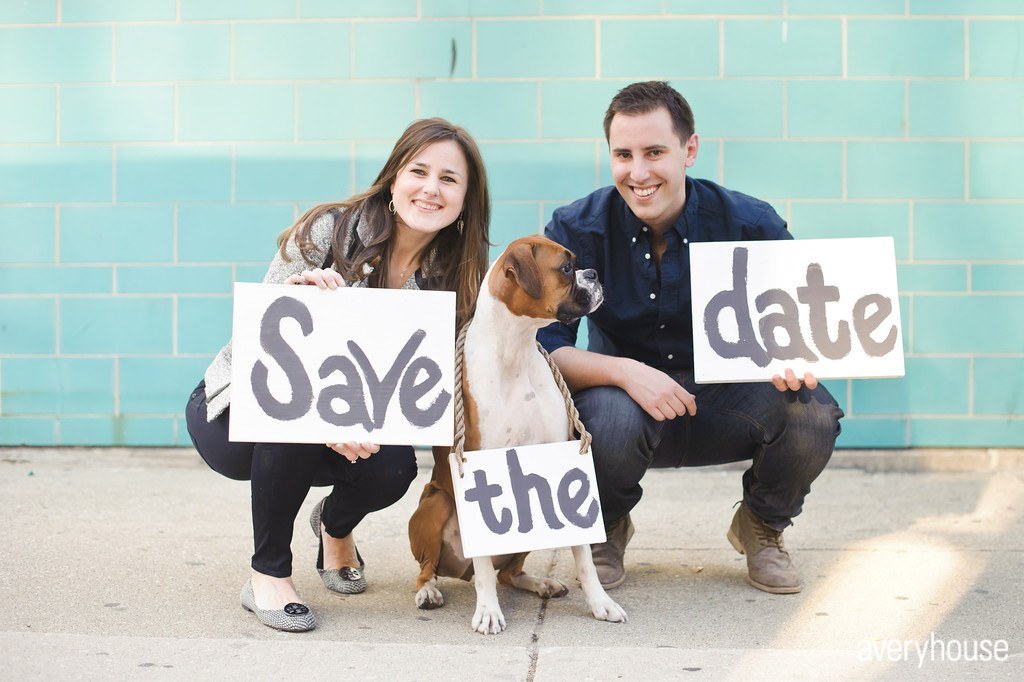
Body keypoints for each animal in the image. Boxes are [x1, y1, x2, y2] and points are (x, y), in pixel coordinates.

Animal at [407, 233, 622, 630]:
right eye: (566, 267)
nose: (594, 273)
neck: (516, 350)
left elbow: (584, 554)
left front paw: (601, 602)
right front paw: (489, 612)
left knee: (508, 573)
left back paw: (540, 583)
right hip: (436, 505)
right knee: (435, 569)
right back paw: (429, 591)